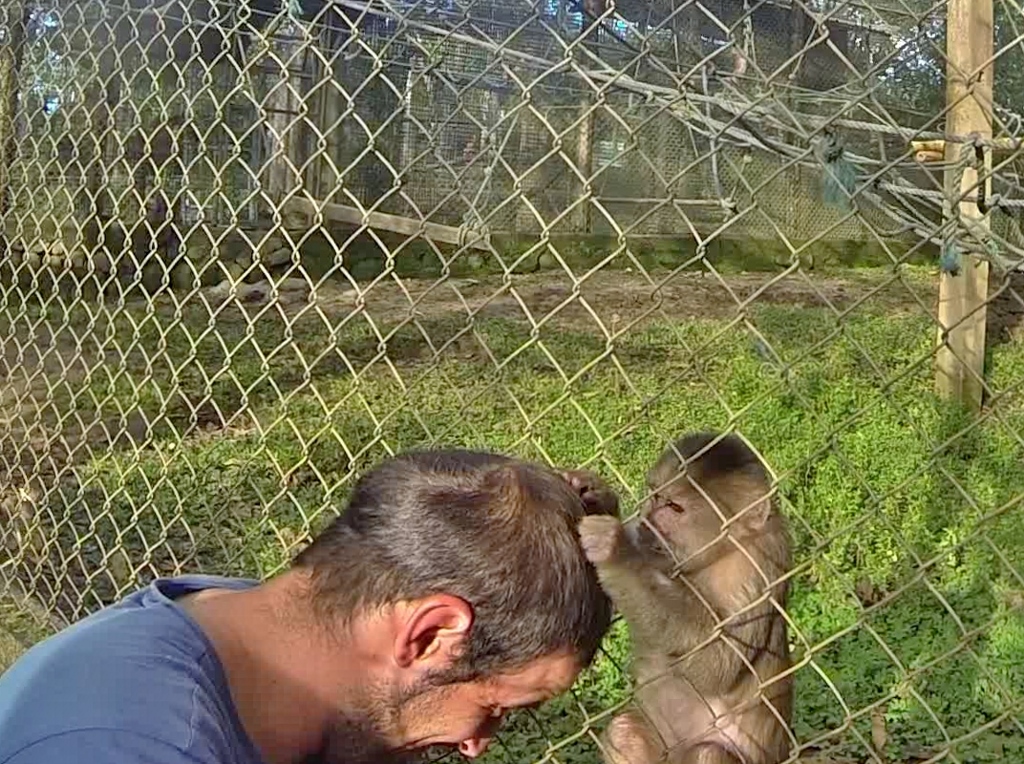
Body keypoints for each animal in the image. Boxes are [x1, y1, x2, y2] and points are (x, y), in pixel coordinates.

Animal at [577, 428, 790, 761]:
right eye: (655, 496)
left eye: (674, 508)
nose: (648, 522)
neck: (718, 552)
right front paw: (596, 494)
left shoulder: (752, 564)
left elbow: (717, 665)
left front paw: (616, 553)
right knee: (624, 733)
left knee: (708, 753)